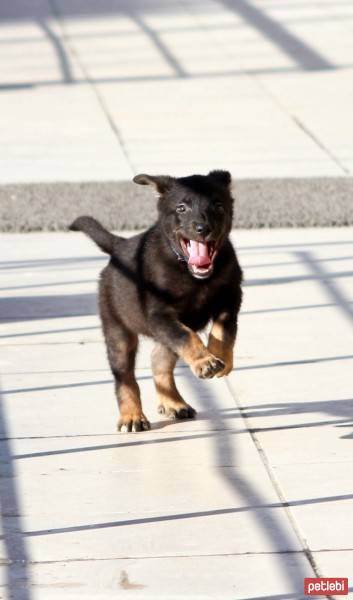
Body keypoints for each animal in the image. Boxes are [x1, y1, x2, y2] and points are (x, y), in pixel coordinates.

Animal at [71, 171, 242, 434]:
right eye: (181, 208)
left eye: (218, 206)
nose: (203, 229)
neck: (192, 275)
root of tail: (119, 246)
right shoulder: (160, 316)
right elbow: (187, 336)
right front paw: (204, 360)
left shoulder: (231, 298)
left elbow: (223, 331)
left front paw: (218, 357)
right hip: (118, 332)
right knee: (125, 378)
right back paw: (132, 416)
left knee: (158, 361)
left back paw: (174, 403)